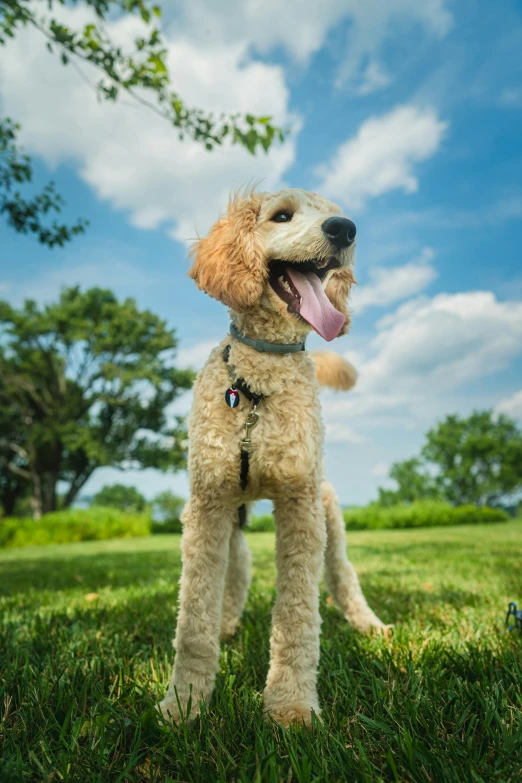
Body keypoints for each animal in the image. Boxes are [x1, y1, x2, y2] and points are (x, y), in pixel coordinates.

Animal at [158, 188, 386, 728]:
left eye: (334, 214)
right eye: (281, 215)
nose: (345, 228)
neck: (260, 385)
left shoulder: (300, 505)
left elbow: (298, 615)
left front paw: (291, 707)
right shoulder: (208, 505)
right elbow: (193, 614)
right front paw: (185, 701)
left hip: (329, 512)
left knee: (343, 573)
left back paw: (368, 624)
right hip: (235, 514)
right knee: (236, 569)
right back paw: (227, 624)